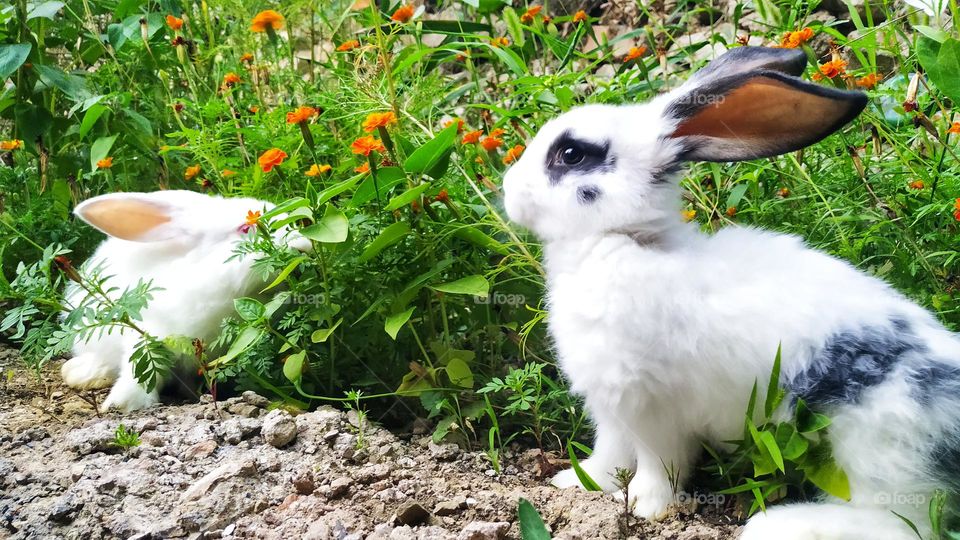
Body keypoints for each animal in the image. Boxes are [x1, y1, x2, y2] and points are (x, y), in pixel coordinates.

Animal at [503, 46, 960, 539]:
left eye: (571, 154)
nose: (507, 188)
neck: (626, 239)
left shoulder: (648, 404)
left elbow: (659, 462)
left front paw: (646, 507)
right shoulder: (610, 408)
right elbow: (610, 454)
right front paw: (576, 482)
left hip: (881, 446)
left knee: (903, 522)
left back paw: (779, 524)